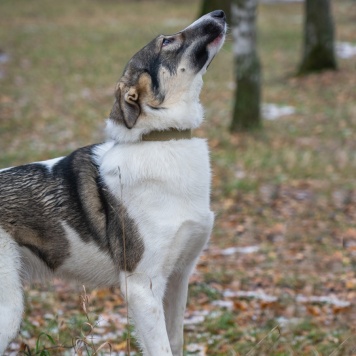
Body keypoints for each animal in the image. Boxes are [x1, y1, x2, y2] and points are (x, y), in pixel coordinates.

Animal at [0, 9, 227, 354]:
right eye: (167, 41)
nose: (220, 12)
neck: (162, 139)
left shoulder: (179, 276)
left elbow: (175, 341)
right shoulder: (142, 286)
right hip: (9, 308)